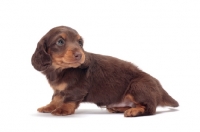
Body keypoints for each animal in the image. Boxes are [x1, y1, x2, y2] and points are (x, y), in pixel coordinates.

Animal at [32, 25, 179, 116]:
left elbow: (68, 100)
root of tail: (160, 89)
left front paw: (62, 110)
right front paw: (48, 107)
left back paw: (134, 111)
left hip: (138, 86)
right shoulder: (58, 90)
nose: (80, 54)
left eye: (80, 43)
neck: (61, 69)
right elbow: (55, 99)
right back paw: (117, 108)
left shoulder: (77, 89)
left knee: (150, 108)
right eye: (60, 42)